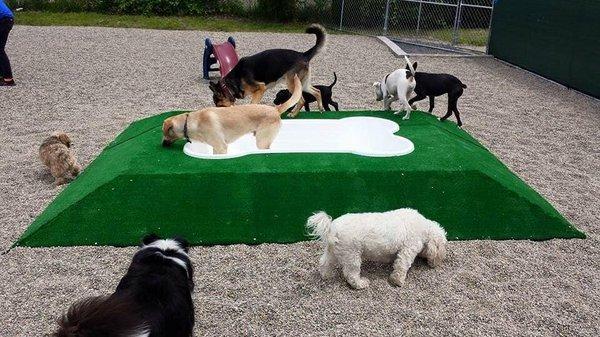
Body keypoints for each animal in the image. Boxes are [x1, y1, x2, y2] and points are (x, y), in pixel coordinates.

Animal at [162, 75, 302, 154]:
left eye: (164, 132)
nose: (162, 144)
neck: (190, 122)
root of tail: (275, 109)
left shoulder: (221, 148)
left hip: (262, 141)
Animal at [310, 207, 446, 288]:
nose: (439, 263)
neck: (424, 227)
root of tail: (331, 228)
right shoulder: (408, 249)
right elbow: (401, 266)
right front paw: (397, 281)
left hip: (333, 251)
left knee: (324, 263)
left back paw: (327, 276)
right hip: (351, 254)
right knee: (350, 274)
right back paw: (360, 284)